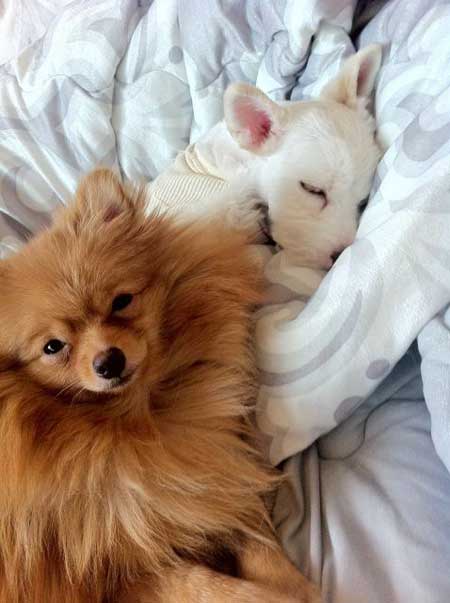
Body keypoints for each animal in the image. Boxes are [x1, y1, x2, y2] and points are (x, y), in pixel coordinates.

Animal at [0, 169, 320, 602]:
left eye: (121, 302)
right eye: (53, 347)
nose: (109, 361)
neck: (140, 417)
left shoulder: (212, 480)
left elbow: (254, 537)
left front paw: (295, 585)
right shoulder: (115, 574)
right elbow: (204, 584)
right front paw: (271, 597)